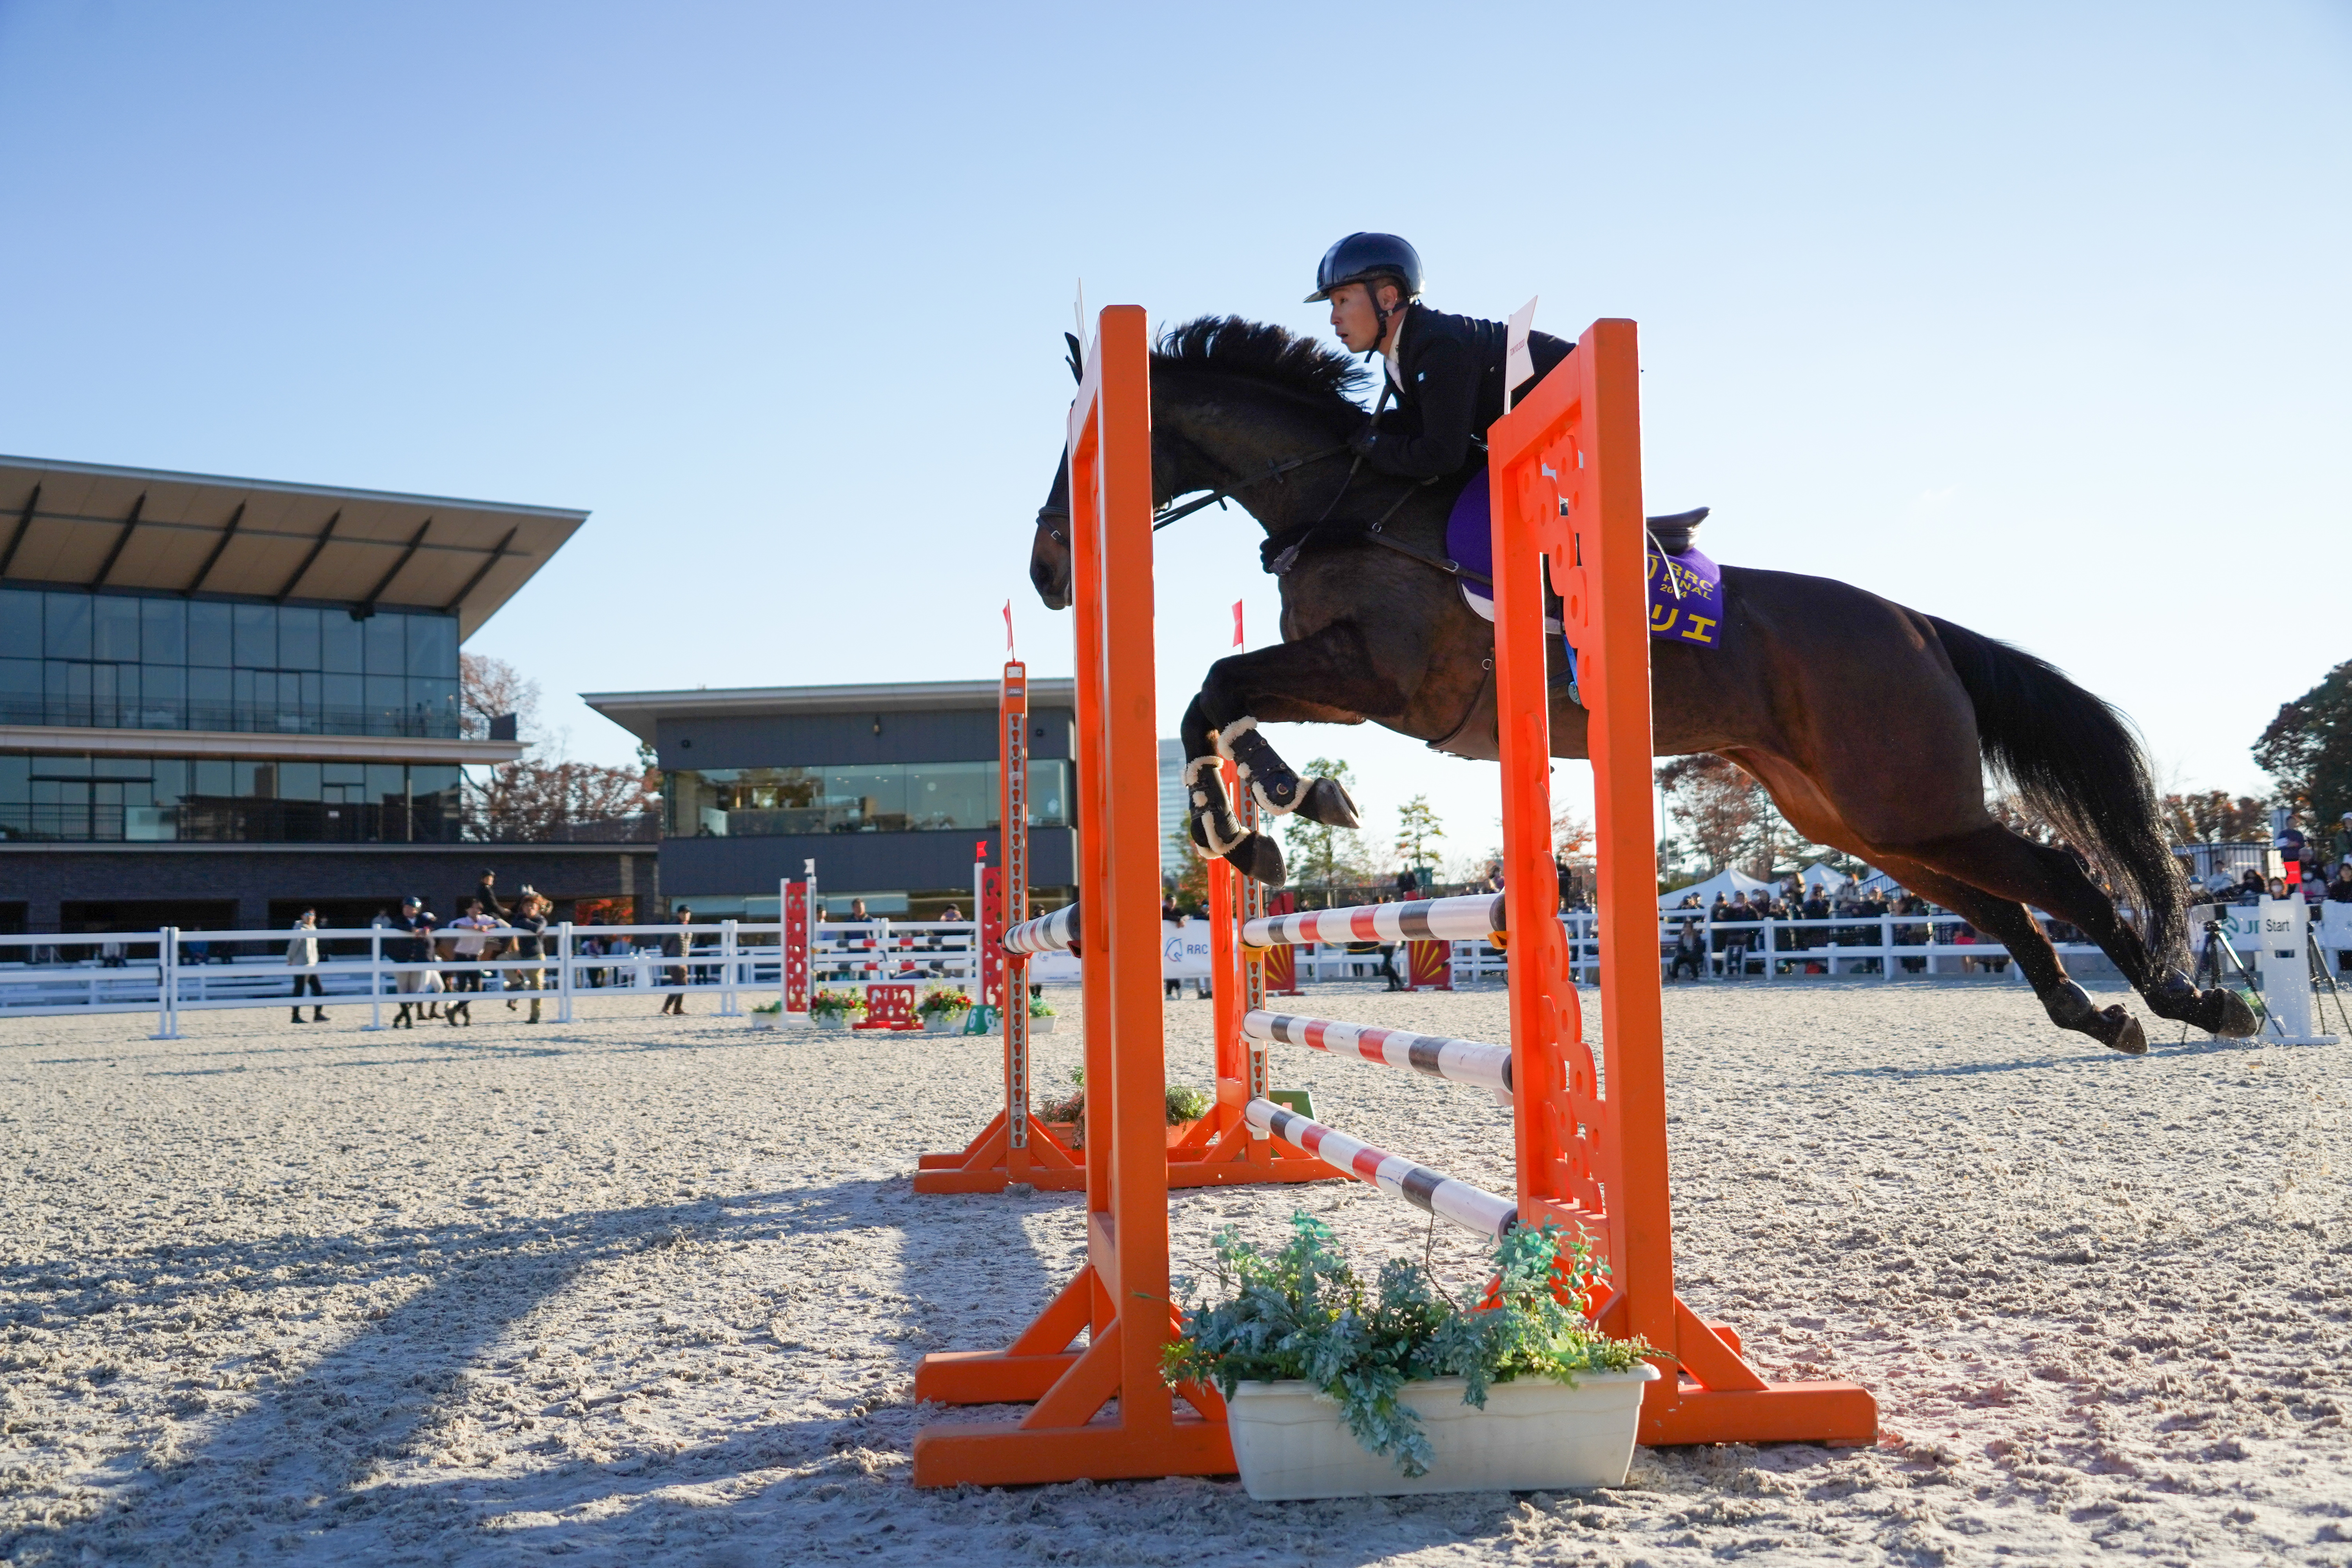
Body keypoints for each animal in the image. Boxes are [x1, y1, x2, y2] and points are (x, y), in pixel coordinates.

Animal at [1030, 317, 2258, 1053]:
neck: (1345, 497)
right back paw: (2099, 1011)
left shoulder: (1383, 678)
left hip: (1910, 799)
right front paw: (1268, 817)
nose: (1048, 572)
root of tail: (1918, 628)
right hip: (1857, 817)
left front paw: (1265, 822)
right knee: (1999, 904)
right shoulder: (1346, 682)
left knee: (2061, 875)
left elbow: (1213, 684)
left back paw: (2192, 999)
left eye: (1084, 455)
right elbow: (1219, 698)